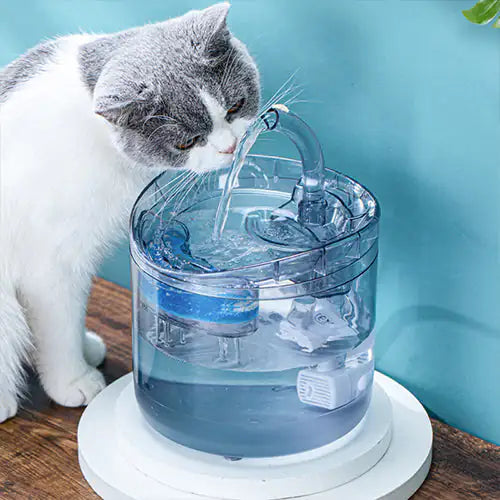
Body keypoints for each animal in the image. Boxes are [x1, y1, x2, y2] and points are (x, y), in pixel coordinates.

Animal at [0, 2, 258, 422]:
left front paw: (85, 348)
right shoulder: (51, 268)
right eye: (186, 142)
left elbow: (73, 318)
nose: (230, 147)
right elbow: (59, 329)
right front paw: (73, 380)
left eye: (235, 106)